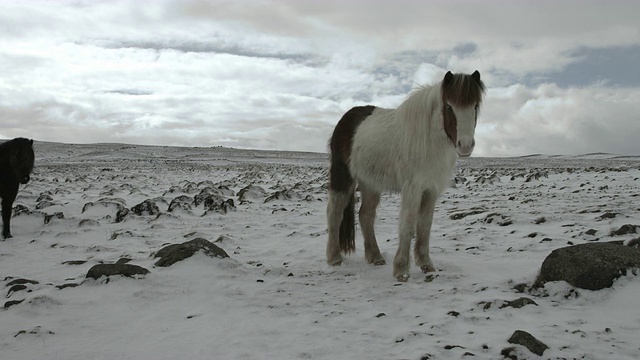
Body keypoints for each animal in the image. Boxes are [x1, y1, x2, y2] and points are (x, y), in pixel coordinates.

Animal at [324, 70, 484, 282]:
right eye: (449, 106)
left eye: (475, 106)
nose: (465, 146)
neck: (428, 140)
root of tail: (346, 119)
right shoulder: (412, 189)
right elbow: (407, 226)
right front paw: (401, 270)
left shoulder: (431, 190)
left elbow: (424, 227)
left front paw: (426, 265)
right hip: (343, 175)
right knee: (334, 212)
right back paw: (334, 258)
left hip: (370, 182)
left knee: (366, 215)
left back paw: (375, 256)